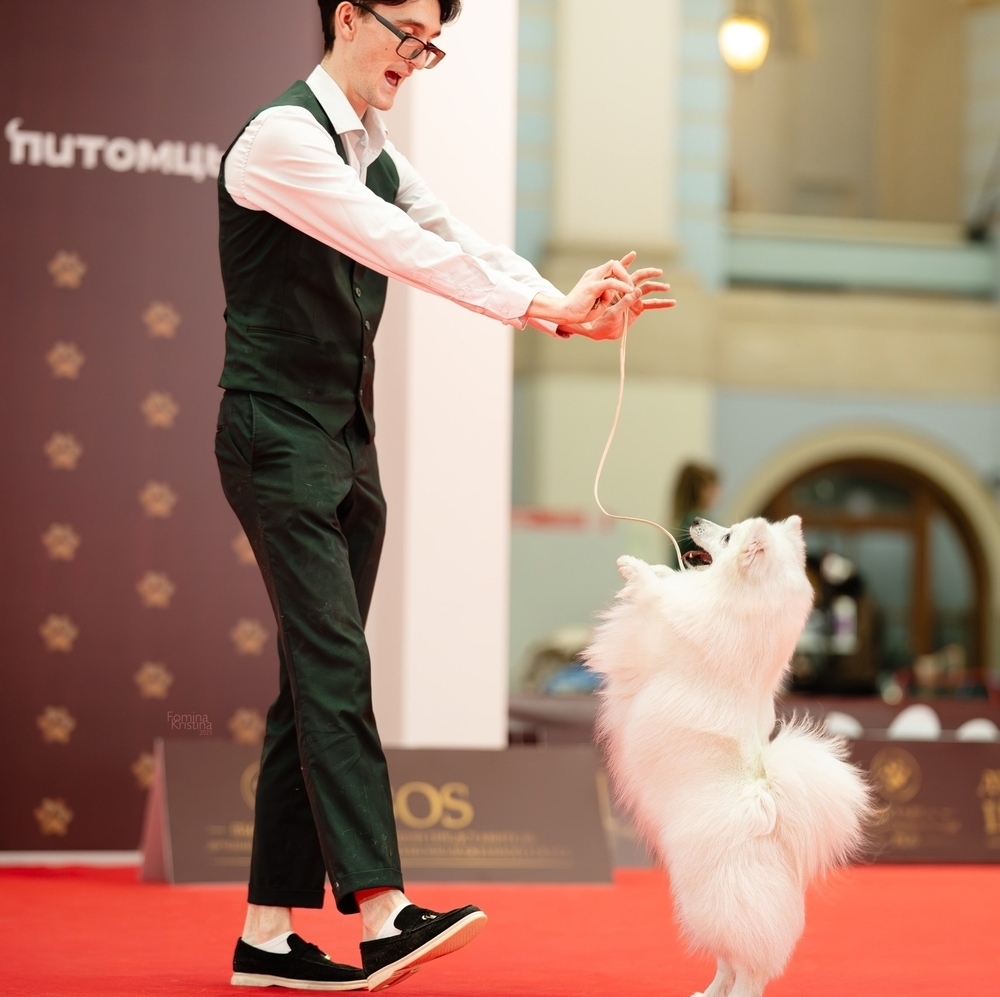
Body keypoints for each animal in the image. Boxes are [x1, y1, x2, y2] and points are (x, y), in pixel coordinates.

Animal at [585, 516, 873, 997]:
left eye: (726, 536)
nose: (697, 520)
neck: (740, 603)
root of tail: (772, 806)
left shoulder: (672, 627)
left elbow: (659, 600)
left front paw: (635, 570)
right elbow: (672, 585)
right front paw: (654, 571)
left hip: (713, 900)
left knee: (749, 970)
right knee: (728, 962)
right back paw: (706, 993)